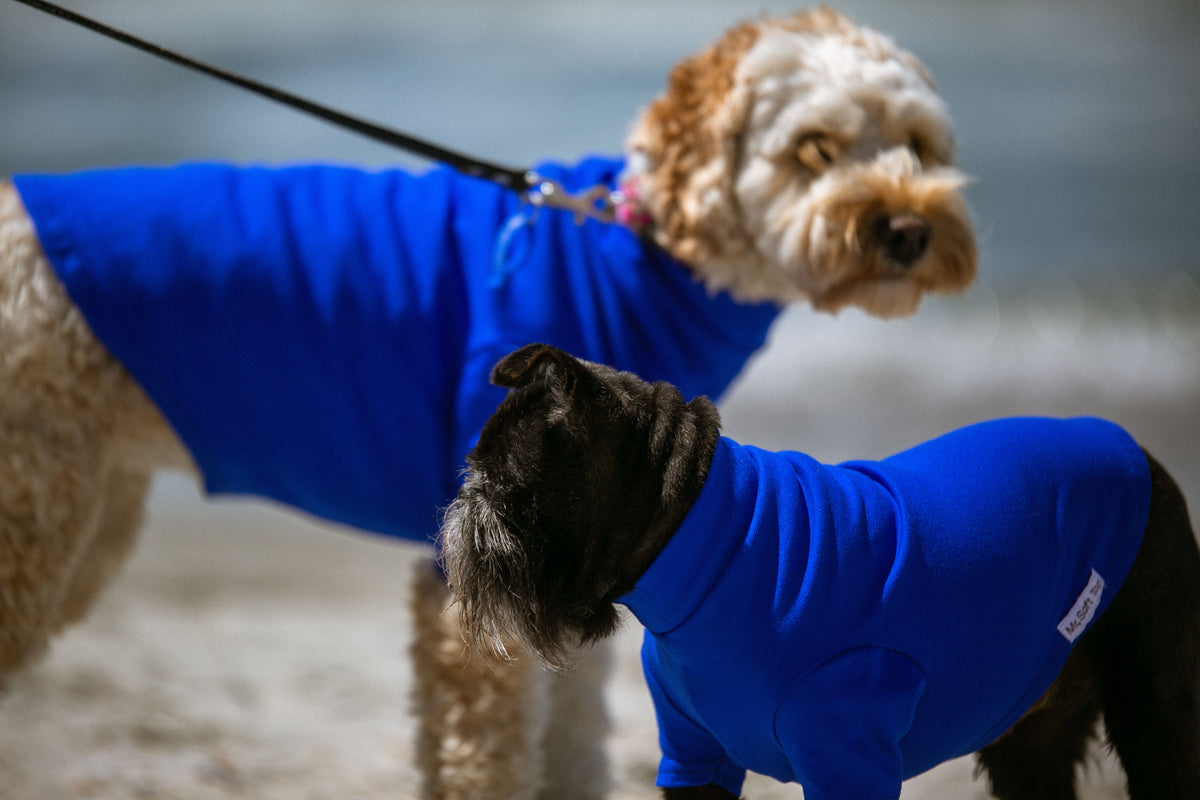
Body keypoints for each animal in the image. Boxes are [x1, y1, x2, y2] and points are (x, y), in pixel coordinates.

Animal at [0, 7, 974, 800]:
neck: (643, 251)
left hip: (90, 514)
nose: (909, 229)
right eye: (813, 147)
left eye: (919, 146)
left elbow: (575, 737)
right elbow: (487, 752)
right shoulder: (473, 585)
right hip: (39, 516)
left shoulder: (599, 554)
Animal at [444, 343, 1200, 800]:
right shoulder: (693, 754)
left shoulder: (847, 758)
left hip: (1155, 711)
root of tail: (1132, 450)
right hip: (1030, 735)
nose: (461, 503)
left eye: (503, 487)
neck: (703, 545)